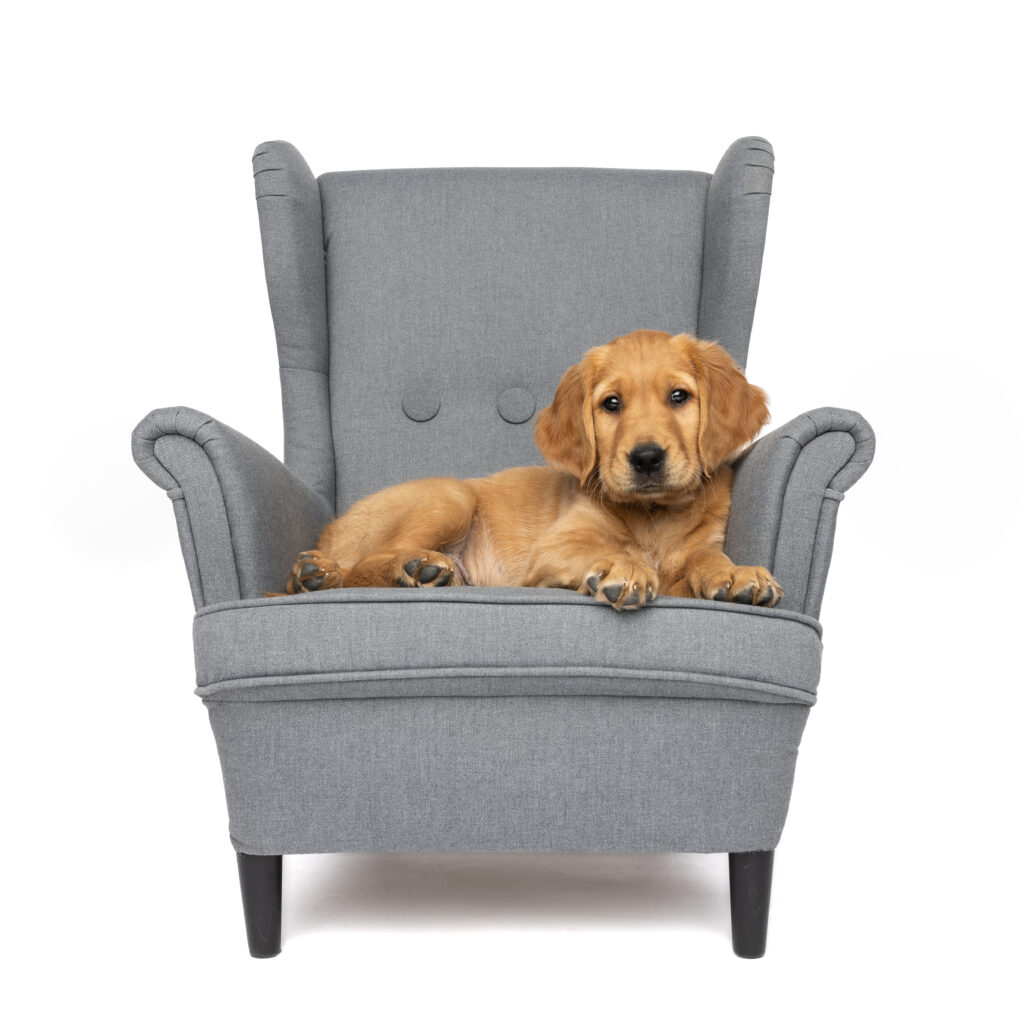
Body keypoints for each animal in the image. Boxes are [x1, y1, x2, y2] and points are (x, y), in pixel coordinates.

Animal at [280, 329, 782, 606]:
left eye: (679, 396)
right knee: (364, 564)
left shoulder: (705, 540)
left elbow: (705, 557)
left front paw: (736, 573)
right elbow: (619, 553)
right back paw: (393, 570)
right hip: (452, 494)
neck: (655, 514)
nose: (645, 458)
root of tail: (329, 532)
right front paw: (624, 567)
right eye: (611, 404)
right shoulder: (555, 547)